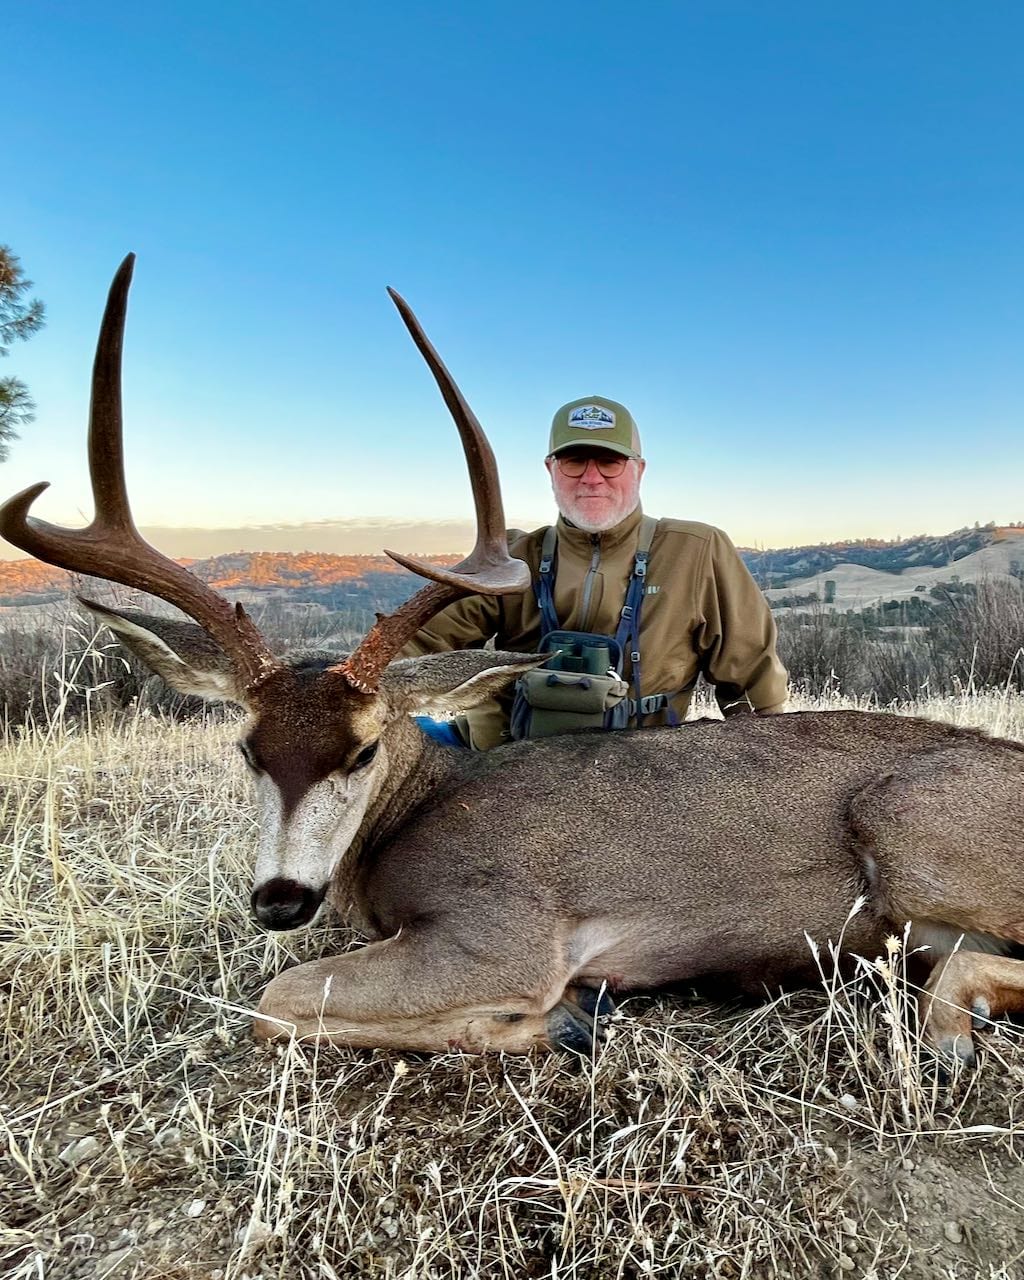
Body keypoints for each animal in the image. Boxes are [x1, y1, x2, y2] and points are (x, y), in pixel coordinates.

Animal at [4, 255, 1024, 1068]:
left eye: (363, 750)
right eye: (247, 749)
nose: (282, 900)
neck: (417, 814)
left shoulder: (507, 932)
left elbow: (277, 999)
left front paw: (557, 1018)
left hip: (907, 824)